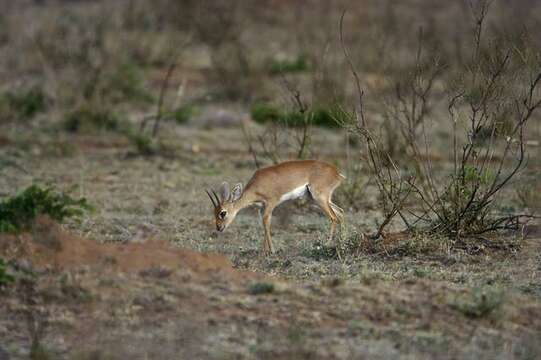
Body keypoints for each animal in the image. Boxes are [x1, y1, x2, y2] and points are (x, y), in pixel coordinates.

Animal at [205, 159, 344, 255]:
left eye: (223, 213)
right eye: (214, 212)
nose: (219, 227)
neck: (257, 186)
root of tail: (337, 173)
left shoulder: (271, 203)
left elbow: (266, 222)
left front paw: (271, 251)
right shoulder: (262, 207)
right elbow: (264, 224)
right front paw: (264, 251)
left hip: (319, 198)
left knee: (333, 217)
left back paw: (325, 245)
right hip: (316, 199)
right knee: (340, 212)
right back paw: (342, 241)